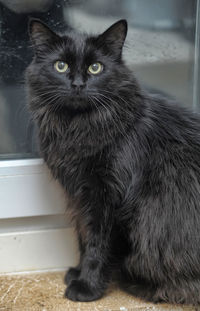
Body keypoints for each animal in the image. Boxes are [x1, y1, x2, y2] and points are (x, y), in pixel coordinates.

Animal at [26, 18, 200, 306]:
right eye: (60, 66)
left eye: (95, 67)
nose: (78, 84)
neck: (78, 129)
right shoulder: (81, 196)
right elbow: (84, 239)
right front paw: (77, 273)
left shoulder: (109, 199)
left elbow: (98, 246)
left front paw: (87, 286)